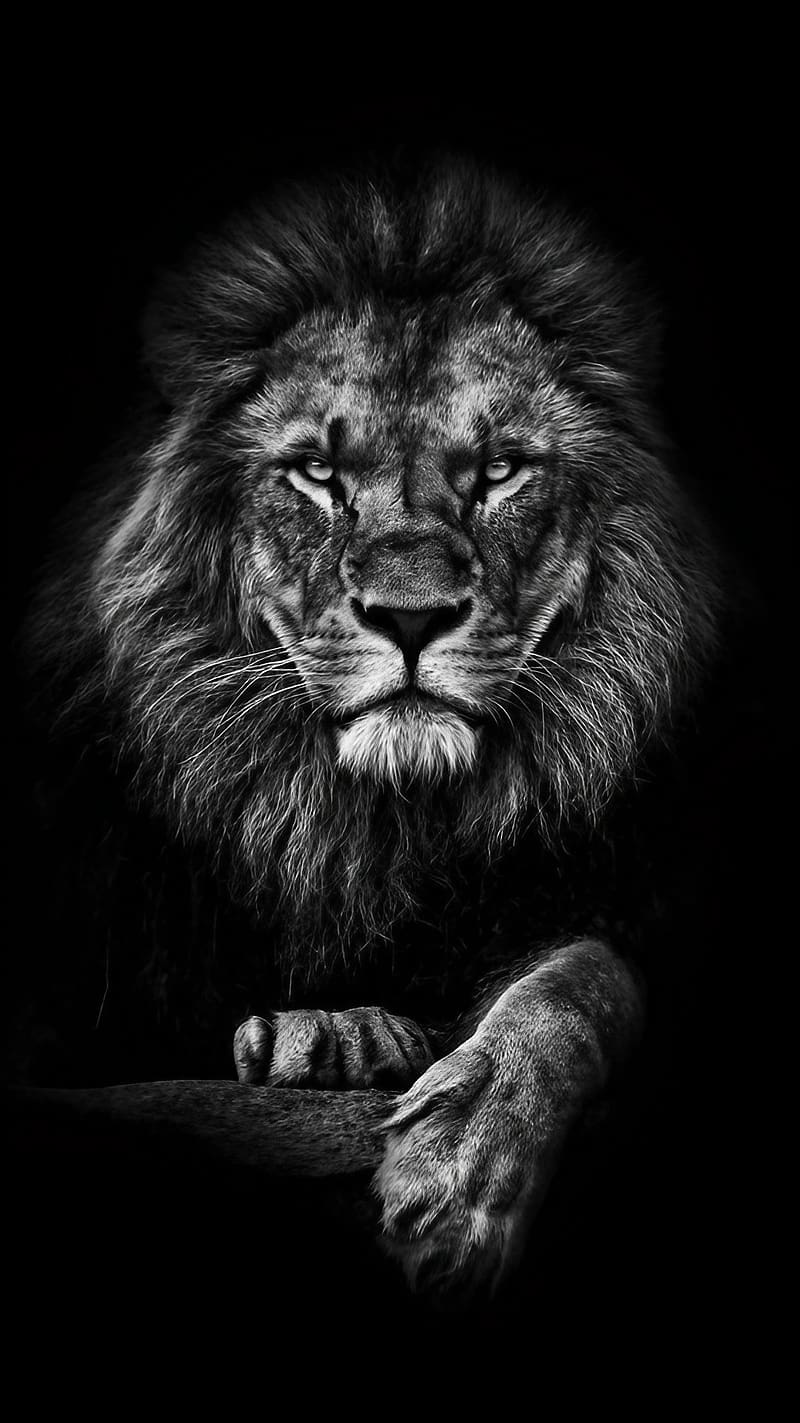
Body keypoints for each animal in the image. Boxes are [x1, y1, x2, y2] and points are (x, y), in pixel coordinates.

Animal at [23, 156, 722, 1303]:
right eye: (316, 472)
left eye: (499, 470)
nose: (409, 614)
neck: (368, 827)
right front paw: (333, 1034)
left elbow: (584, 981)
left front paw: (460, 1166)